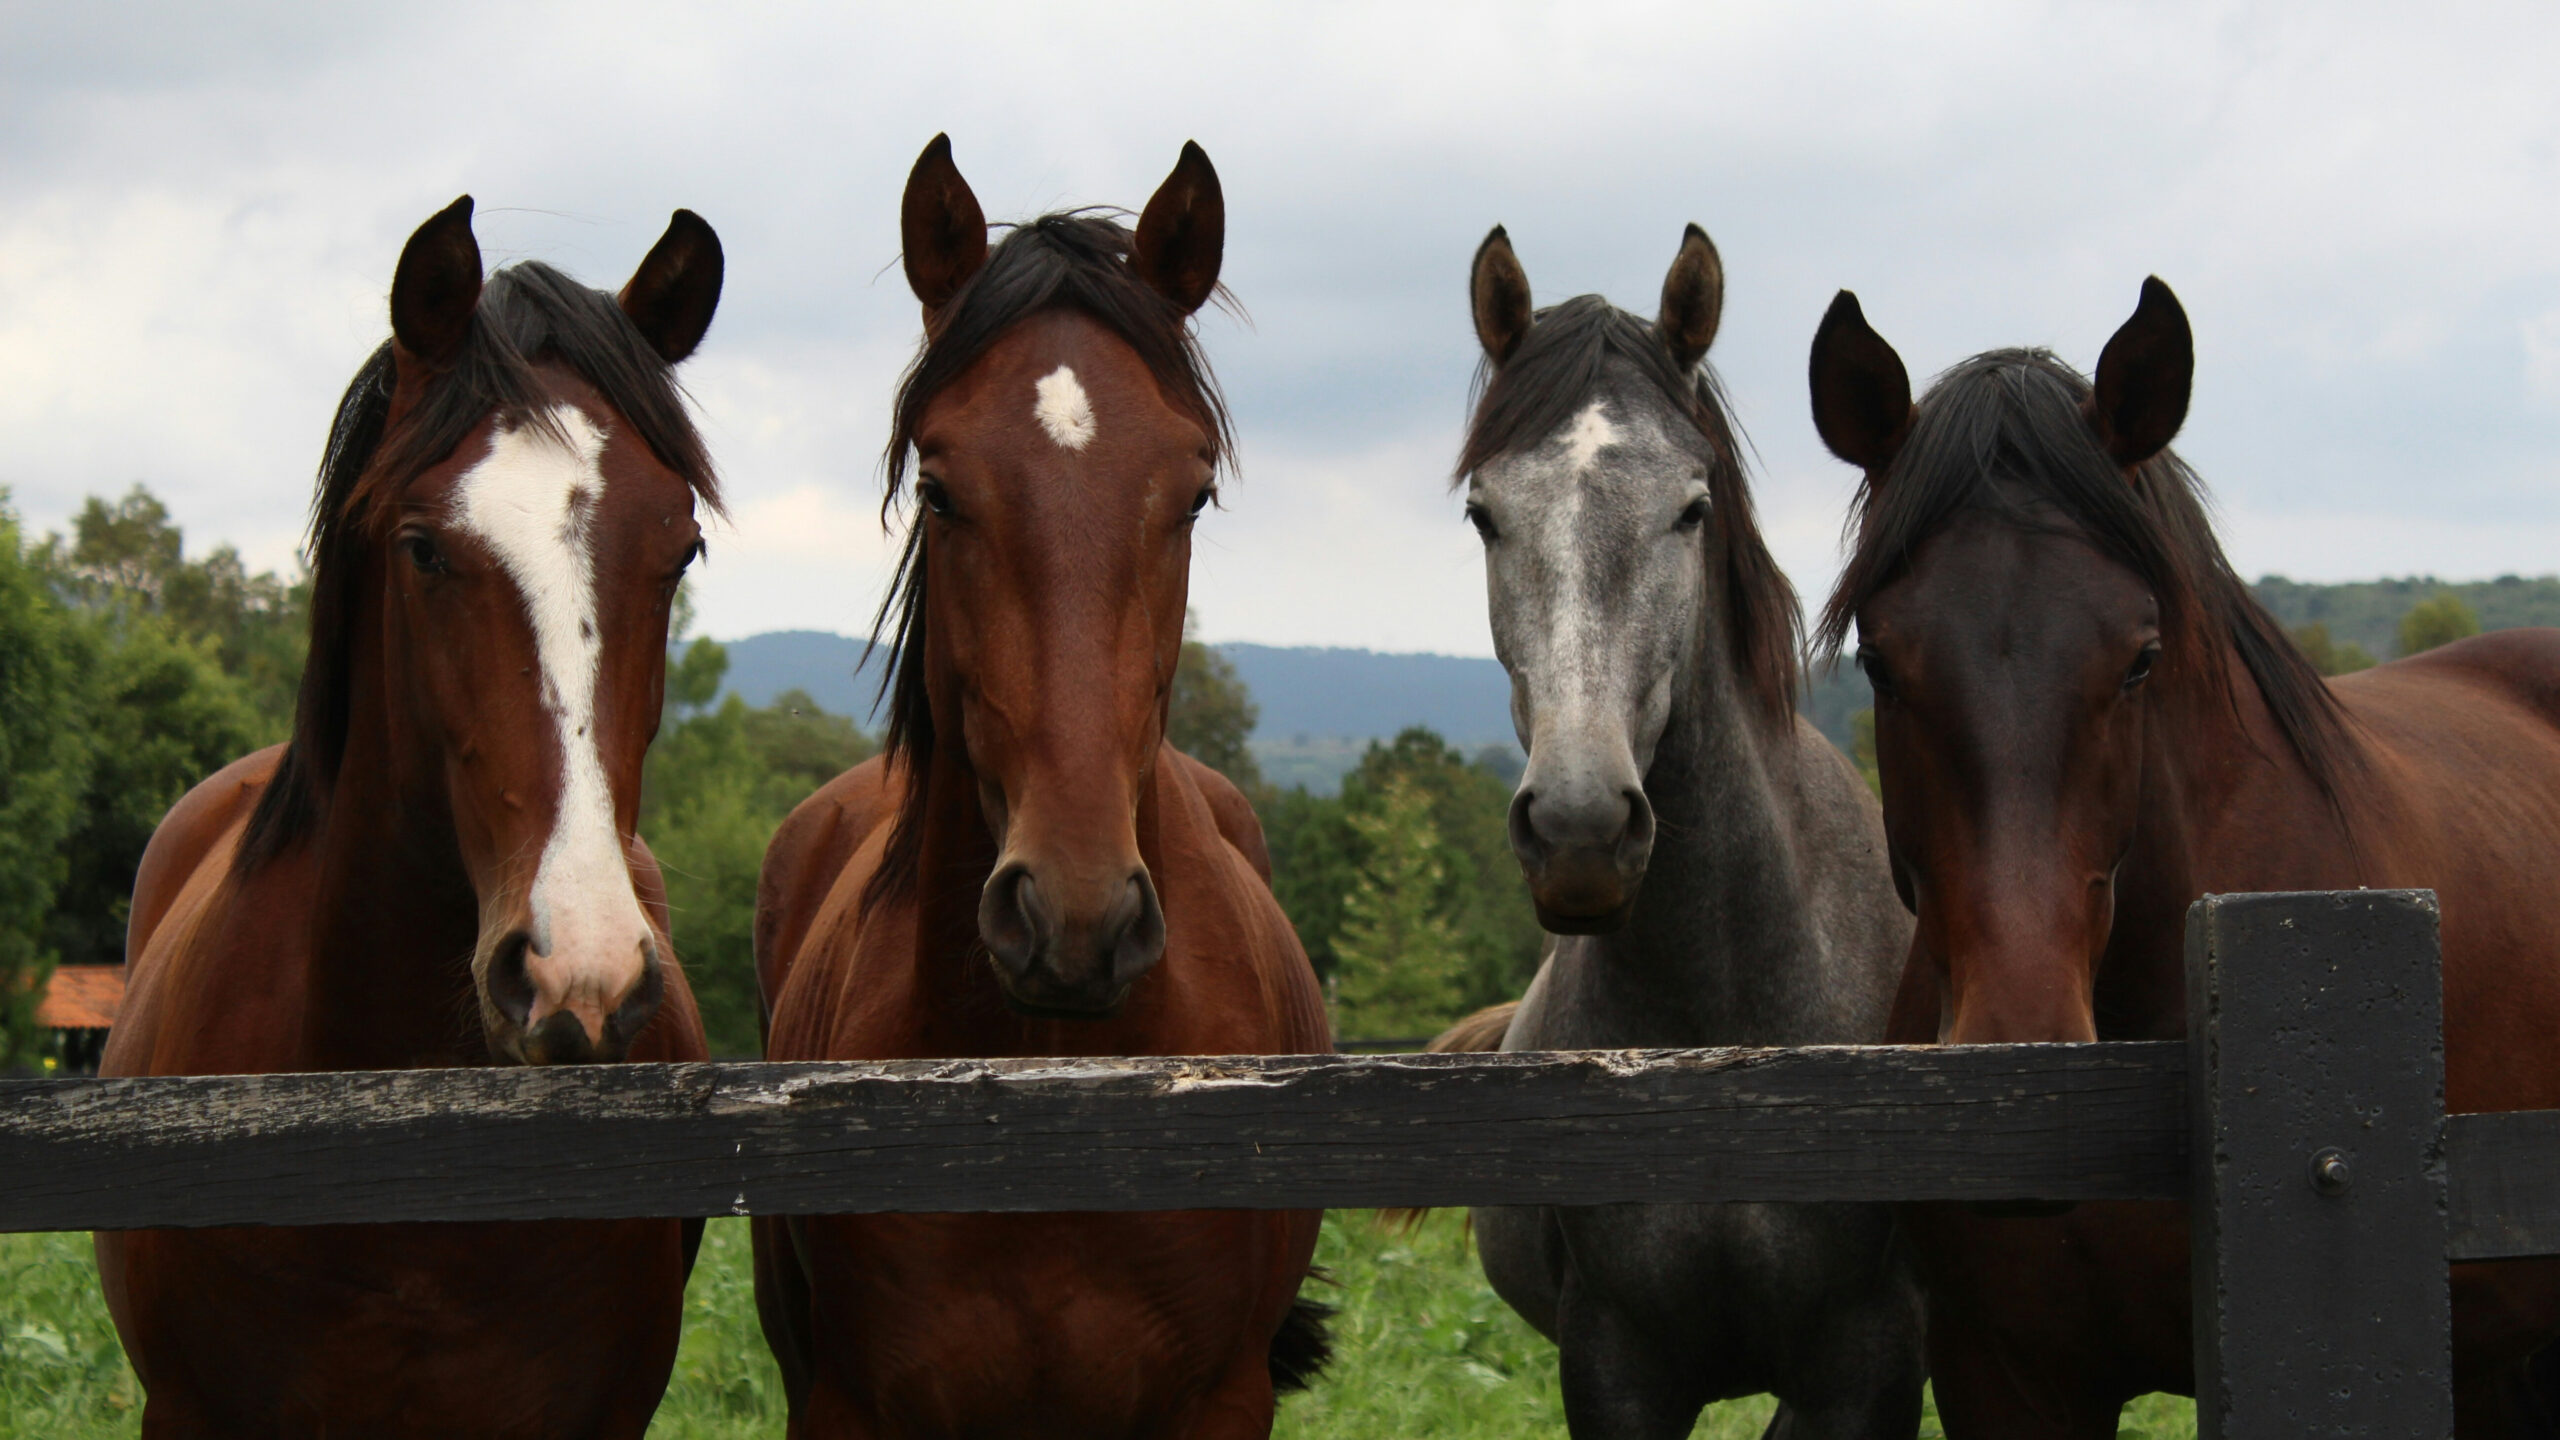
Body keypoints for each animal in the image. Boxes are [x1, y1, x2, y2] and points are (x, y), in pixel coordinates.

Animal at [747, 134, 1331, 1434]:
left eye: (1193, 492)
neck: (1045, 1110)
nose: (1074, 918)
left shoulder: (1222, 1401)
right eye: (938, 487)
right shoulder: (843, 1403)